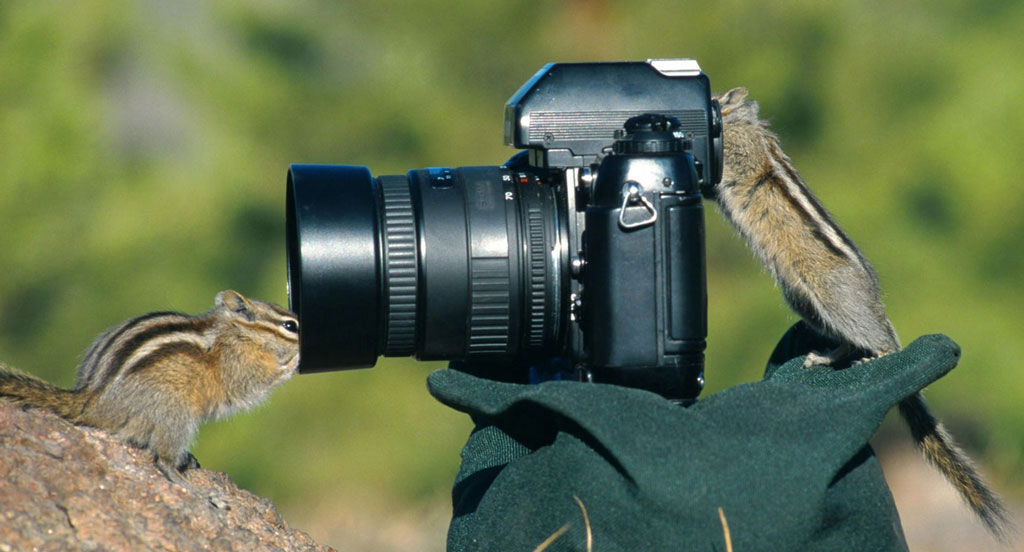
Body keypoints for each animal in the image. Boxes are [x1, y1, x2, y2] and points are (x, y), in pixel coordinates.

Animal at [0, 290, 300, 488]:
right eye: (290, 325)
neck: (238, 333)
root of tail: (93, 401)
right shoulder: (237, 365)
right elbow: (254, 382)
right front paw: (292, 362)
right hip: (175, 411)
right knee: (162, 457)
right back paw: (181, 479)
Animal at [711, 87, 1009, 537]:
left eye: (716, 99)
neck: (748, 123)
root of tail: (877, 307)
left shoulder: (743, 151)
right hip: (804, 301)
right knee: (847, 342)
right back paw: (824, 357)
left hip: (834, 298)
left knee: (875, 341)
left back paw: (877, 356)